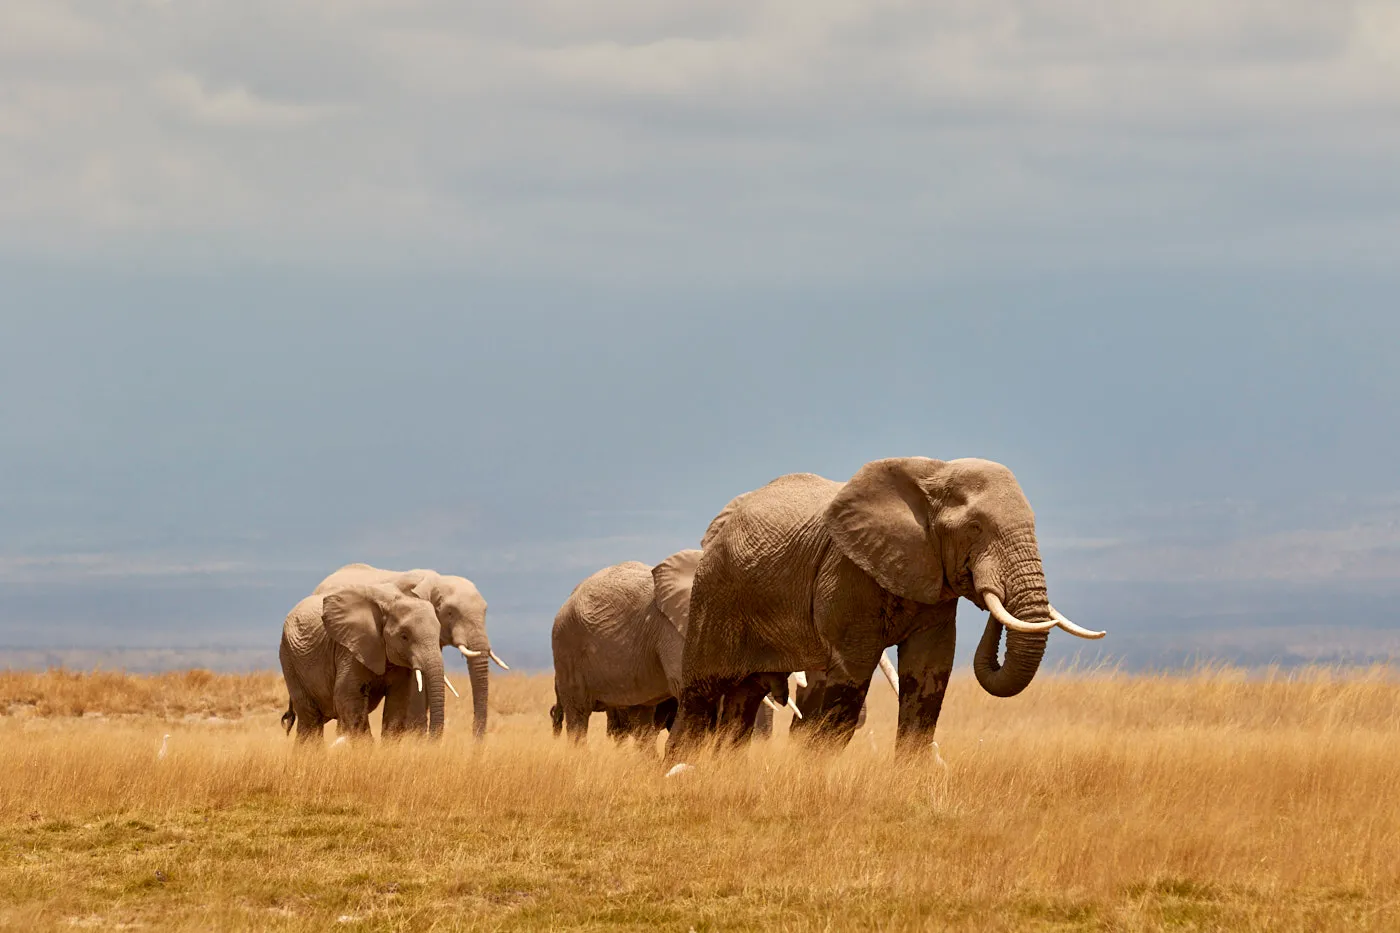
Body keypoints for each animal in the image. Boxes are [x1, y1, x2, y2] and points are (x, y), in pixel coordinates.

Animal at [279, 583, 448, 743]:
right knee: (310, 719)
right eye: (404, 636)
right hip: (290, 659)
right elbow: (348, 700)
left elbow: (397, 704)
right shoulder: (350, 648)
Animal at [663, 457, 1105, 763]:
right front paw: (813, 777)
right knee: (701, 694)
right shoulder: (846, 573)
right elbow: (851, 679)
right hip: (715, 594)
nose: (989, 589)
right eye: (975, 527)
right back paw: (680, 770)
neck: (933, 474)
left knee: (744, 700)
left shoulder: (932, 580)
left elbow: (929, 674)